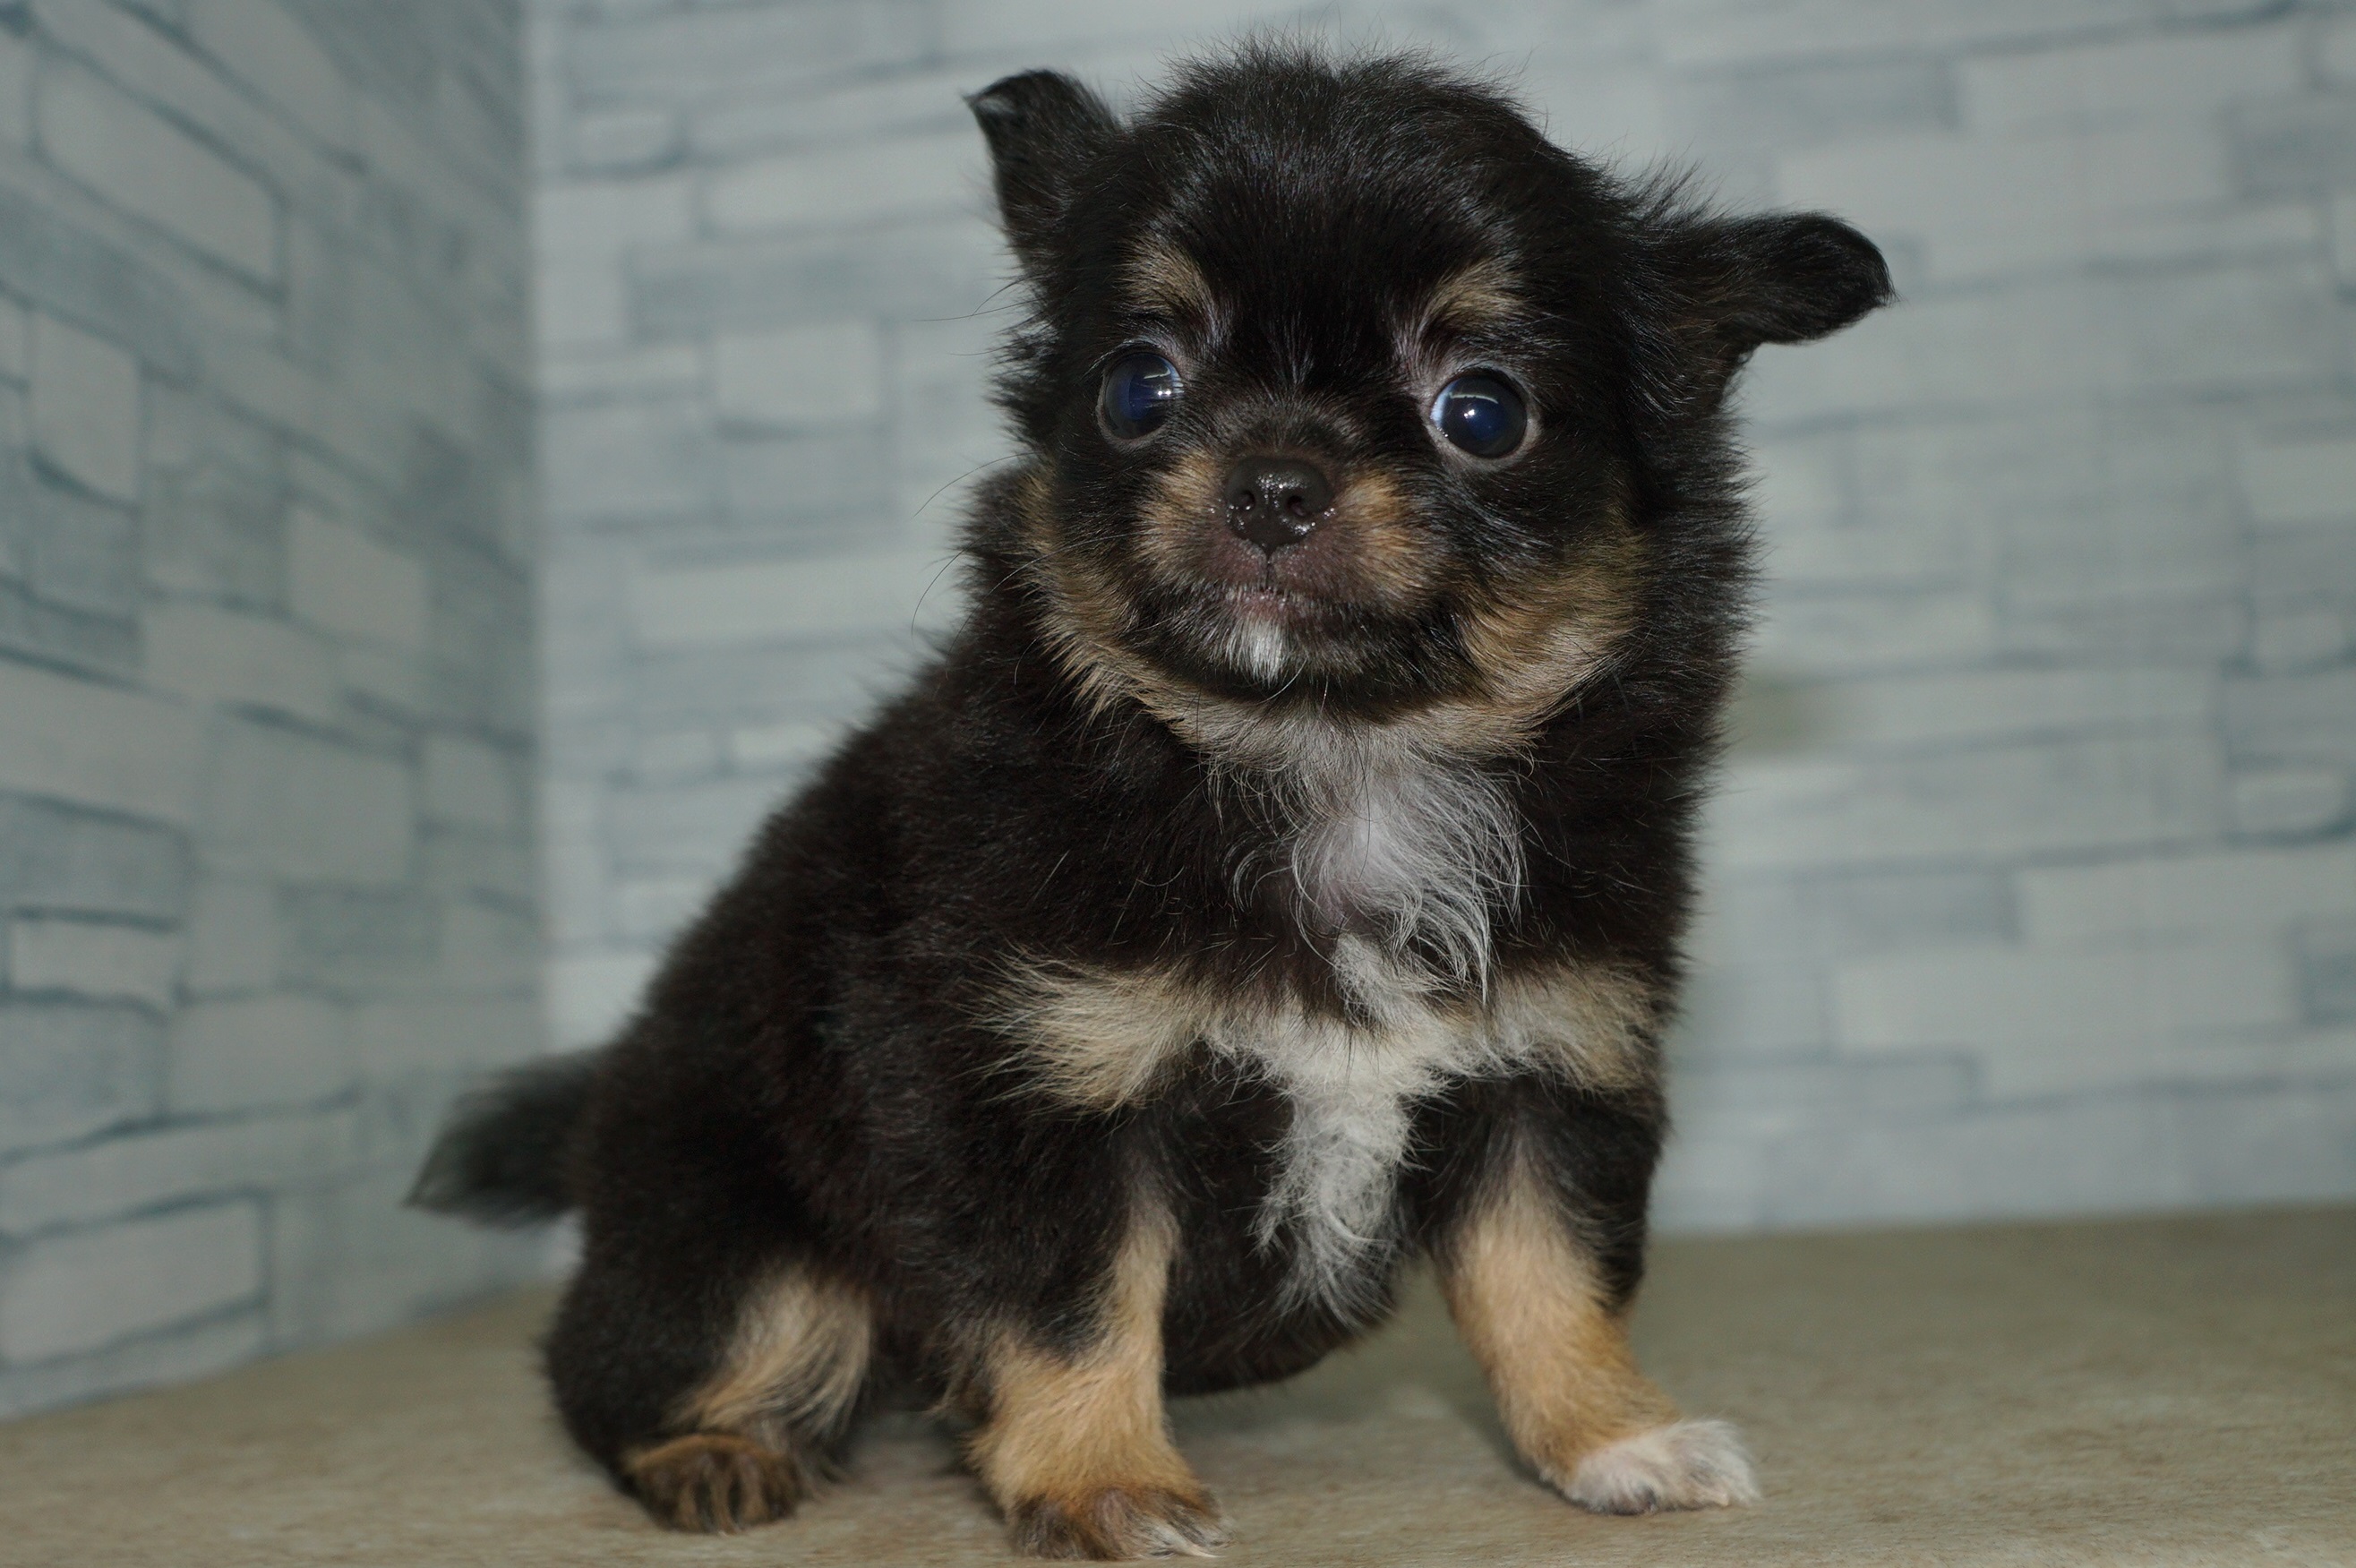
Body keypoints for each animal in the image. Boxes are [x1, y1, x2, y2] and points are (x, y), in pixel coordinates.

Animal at [415, 46, 1894, 1554]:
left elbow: (1548, 1278)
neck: (1331, 757)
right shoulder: (1027, 1081)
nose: (1273, 481)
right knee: (631, 1357)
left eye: (1480, 411)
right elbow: (1072, 1306)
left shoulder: (1547, 1065)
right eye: (1138, 387)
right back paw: (711, 1451)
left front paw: (1610, 1436)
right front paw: (1099, 1477)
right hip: (745, 1251)